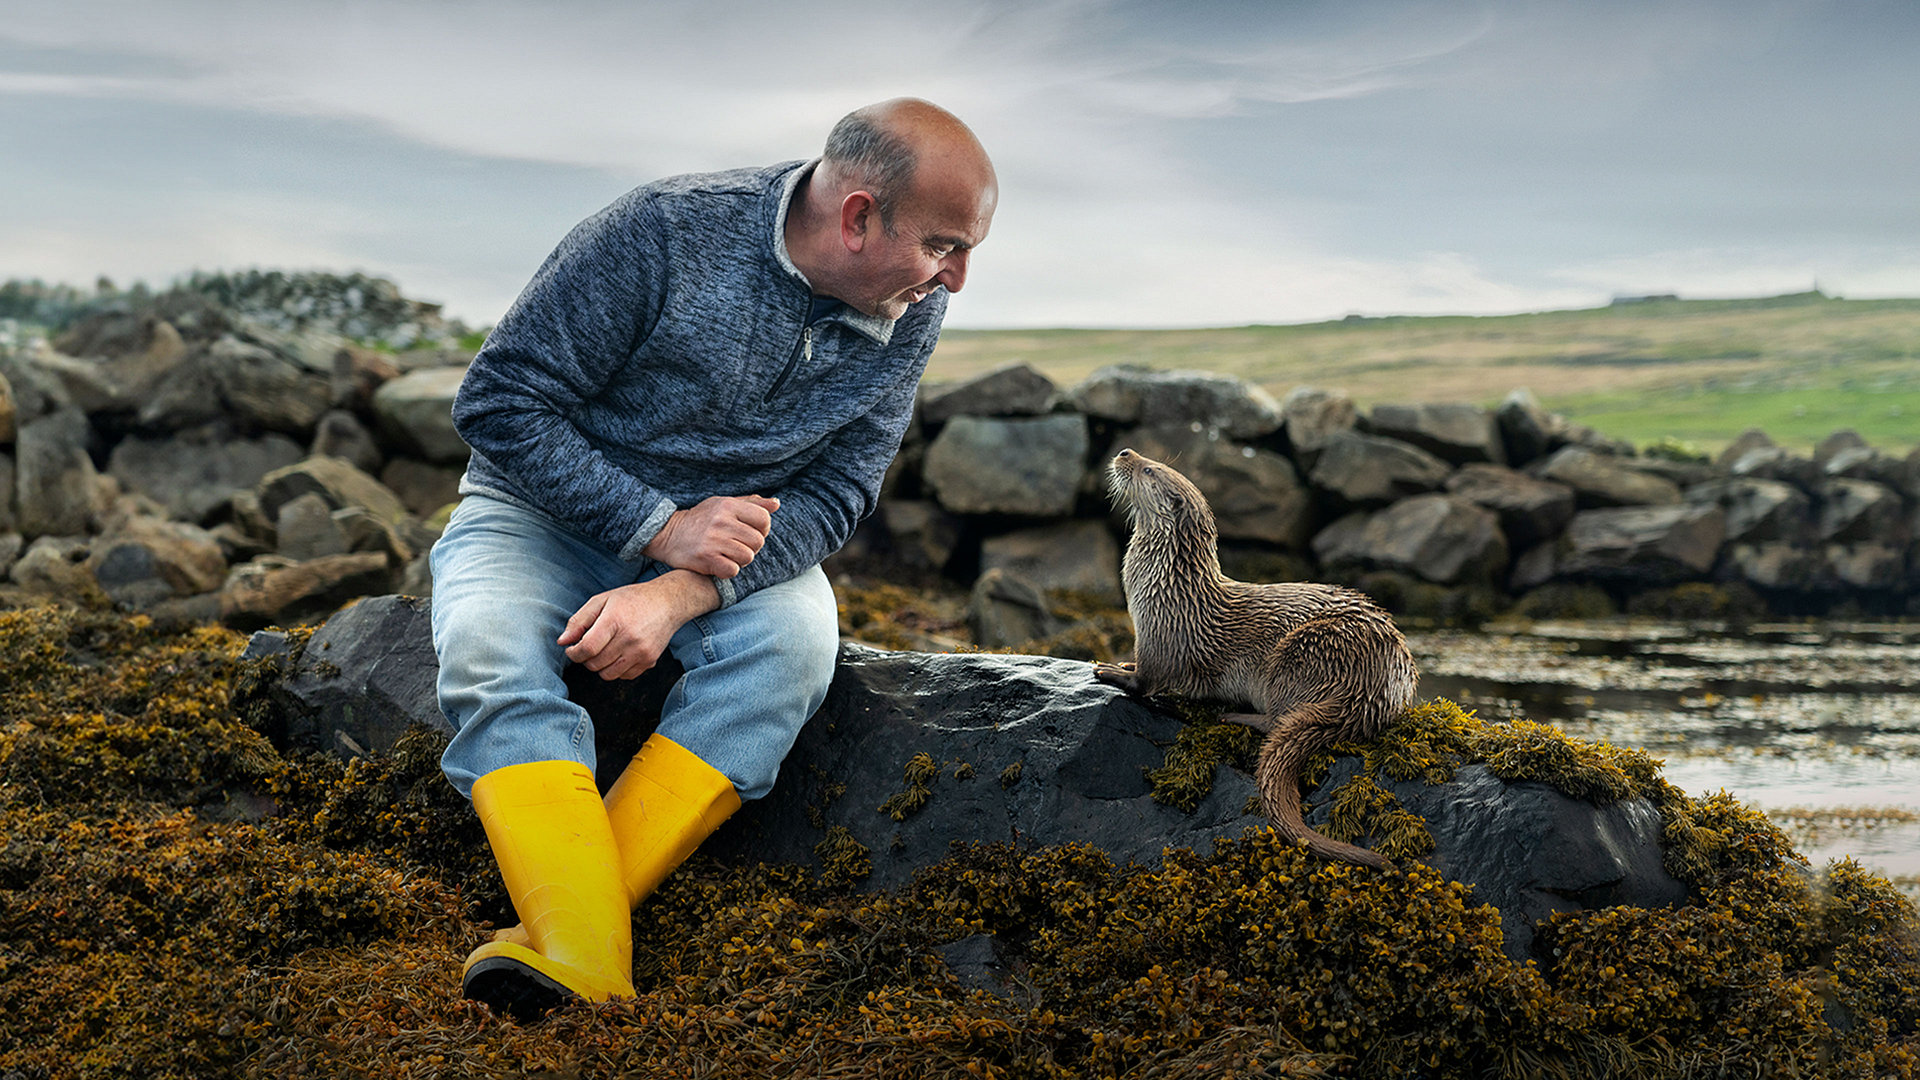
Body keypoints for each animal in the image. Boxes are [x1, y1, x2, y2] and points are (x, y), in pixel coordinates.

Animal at [1098, 445, 1413, 864]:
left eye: (1150, 469)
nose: (1124, 452)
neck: (1170, 584)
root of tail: (1374, 692)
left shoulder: (1161, 634)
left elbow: (1147, 680)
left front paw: (1111, 671)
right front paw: (1122, 661)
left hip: (1301, 654)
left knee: (1278, 719)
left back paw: (1235, 715)